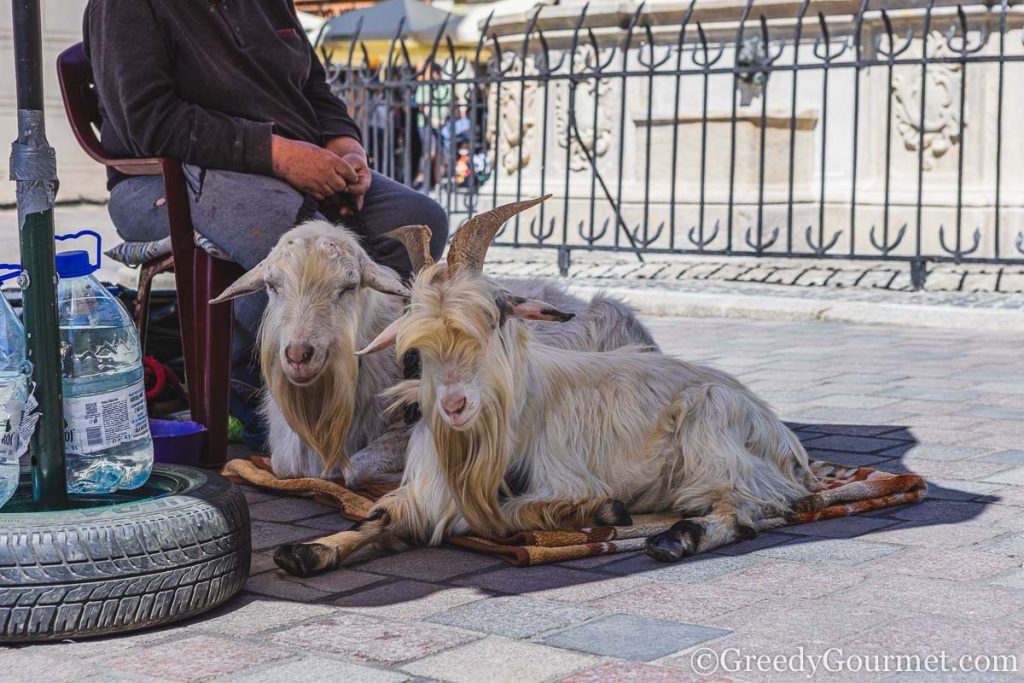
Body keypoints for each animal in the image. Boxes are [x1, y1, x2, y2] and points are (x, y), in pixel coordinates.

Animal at [211, 200, 655, 489]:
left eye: (349, 285)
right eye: (272, 286)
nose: (299, 355)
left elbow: (349, 470)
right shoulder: (288, 455)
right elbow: (291, 468)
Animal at [274, 197, 815, 577]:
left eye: (493, 318)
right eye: (416, 337)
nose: (452, 405)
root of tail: (778, 431)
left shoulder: (559, 478)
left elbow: (496, 515)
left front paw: (599, 510)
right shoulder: (423, 487)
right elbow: (378, 516)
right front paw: (306, 551)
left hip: (712, 433)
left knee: (748, 507)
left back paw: (674, 539)